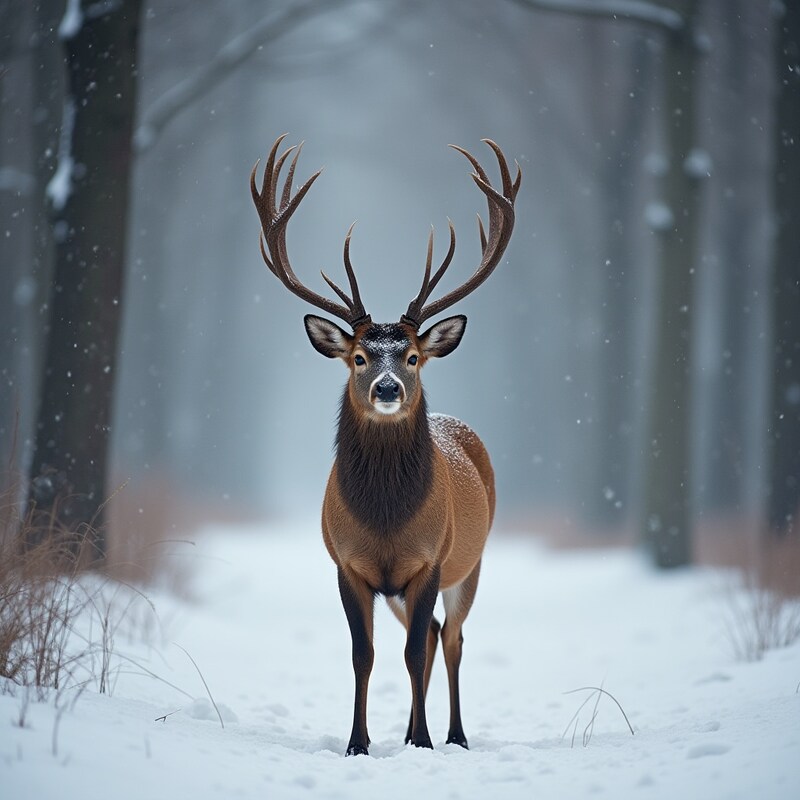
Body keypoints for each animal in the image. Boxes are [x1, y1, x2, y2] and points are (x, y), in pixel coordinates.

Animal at [250, 135, 520, 756]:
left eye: (414, 355)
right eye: (358, 356)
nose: (389, 387)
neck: (386, 517)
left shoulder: (430, 560)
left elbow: (413, 653)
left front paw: (420, 741)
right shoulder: (348, 564)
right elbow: (363, 655)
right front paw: (359, 742)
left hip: (471, 561)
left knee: (451, 639)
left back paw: (454, 735)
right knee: (436, 636)